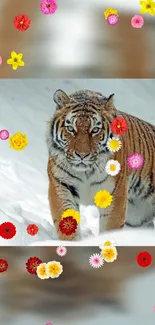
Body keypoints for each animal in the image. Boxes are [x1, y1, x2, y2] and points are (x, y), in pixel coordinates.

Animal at [46, 88, 155, 240]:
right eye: (71, 129)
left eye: (95, 130)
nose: (82, 155)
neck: (85, 172)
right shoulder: (61, 186)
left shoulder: (114, 194)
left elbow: (110, 228)